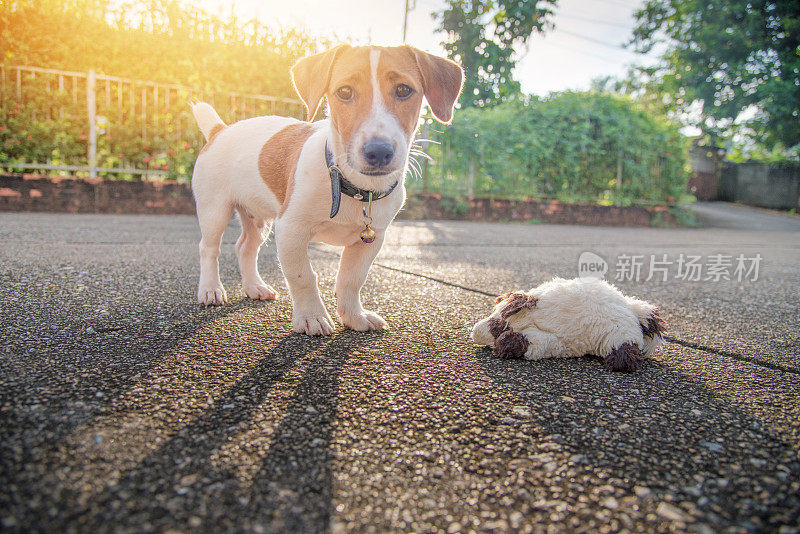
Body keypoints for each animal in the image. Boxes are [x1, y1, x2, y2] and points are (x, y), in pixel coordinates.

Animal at [189, 47, 462, 340]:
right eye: (344, 92)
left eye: (403, 90)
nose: (379, 152)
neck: (352, 187)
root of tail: (220, 129)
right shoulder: (291, 230)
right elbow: (303, 276)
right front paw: (312, 317)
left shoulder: (371, 239)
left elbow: (351, 279)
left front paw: (354, 316)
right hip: (215, 210)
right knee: (209, 248)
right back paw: (211, 289)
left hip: (258, 218)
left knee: (245, 248)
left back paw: (255, 287)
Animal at [472, 280, 664, 372]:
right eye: (495, 322)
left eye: (498, 326)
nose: (475, 333)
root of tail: (632, 309)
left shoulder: (551, 339)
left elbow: (532, 343)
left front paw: (507, 343)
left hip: (620, 334)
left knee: (624, 347)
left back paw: (621, 360)